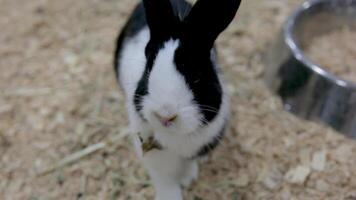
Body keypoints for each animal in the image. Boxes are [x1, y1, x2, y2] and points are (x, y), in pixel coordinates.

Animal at [114, 0, 242, 199]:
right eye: (148, 70)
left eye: (197, 76)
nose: (165, 116)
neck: (175, 136)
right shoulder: (153, 152)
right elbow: (164, 178)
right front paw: (170, 195)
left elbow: (188, 162)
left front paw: (188, 178)